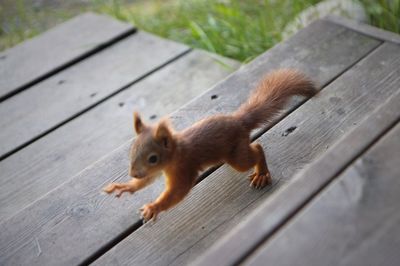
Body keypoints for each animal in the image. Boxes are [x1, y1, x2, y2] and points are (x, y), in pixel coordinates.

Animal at [104, 68, 318, 220]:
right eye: (132, 151)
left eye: (153, 158)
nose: (133, 173)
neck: (175, 153)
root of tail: (239, 121)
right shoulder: (155, 173)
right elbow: (146, 181)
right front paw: (125, 186)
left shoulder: (184, 169)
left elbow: (177, 192)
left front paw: (153, 207)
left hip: (237, 156)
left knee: (256, 149)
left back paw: (262, 174)